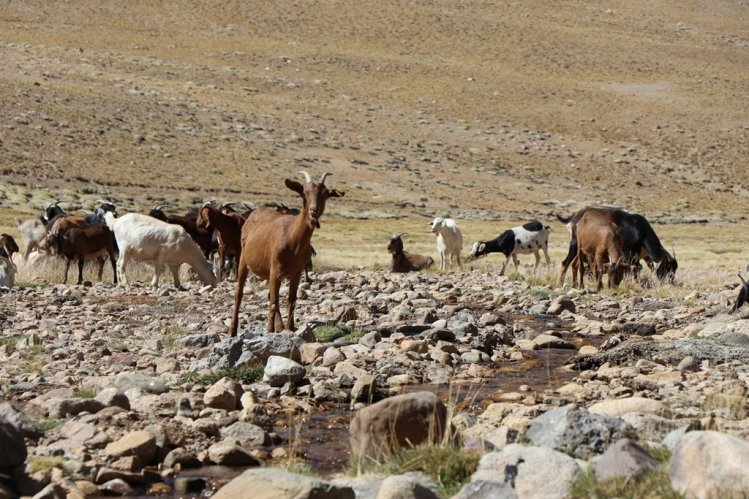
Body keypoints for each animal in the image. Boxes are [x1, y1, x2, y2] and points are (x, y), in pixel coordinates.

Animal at [228, 171, 344, 336]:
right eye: (304, 193)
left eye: (325, 194)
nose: (313, 211)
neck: (292, 237)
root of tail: (252, 214)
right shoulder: (274, 270)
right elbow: (274, 302)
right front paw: (269, 330)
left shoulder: (296, 273)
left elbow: (291, 300)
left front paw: (290, 328)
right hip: (244, 258)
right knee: (239, 293)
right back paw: (233, 330)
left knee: (271, 295)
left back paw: (280, 326)